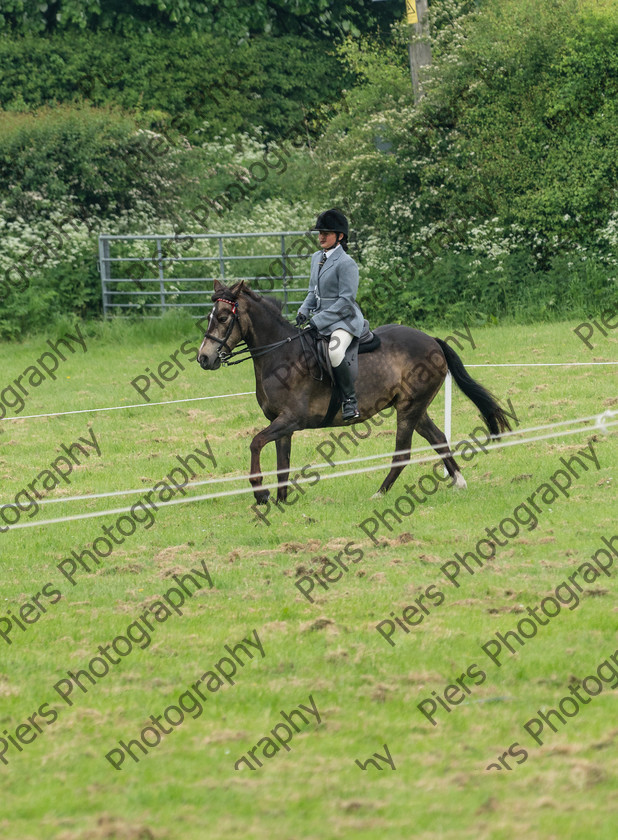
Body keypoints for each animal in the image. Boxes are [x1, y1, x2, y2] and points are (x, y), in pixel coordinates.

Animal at [197, 282, 510, 506]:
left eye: (223, 318)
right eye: (209, 317)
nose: (204, 358)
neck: (280, 355)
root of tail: (431, 340)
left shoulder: (292, 419)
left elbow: (255, 443)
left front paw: (260, 493)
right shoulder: (281, 424)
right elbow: (282, 464)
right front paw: (280, 501)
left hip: (409, 408)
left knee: (403, 452)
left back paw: (379, 494)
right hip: (414, 407)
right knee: (438, 439)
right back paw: (459, 482)